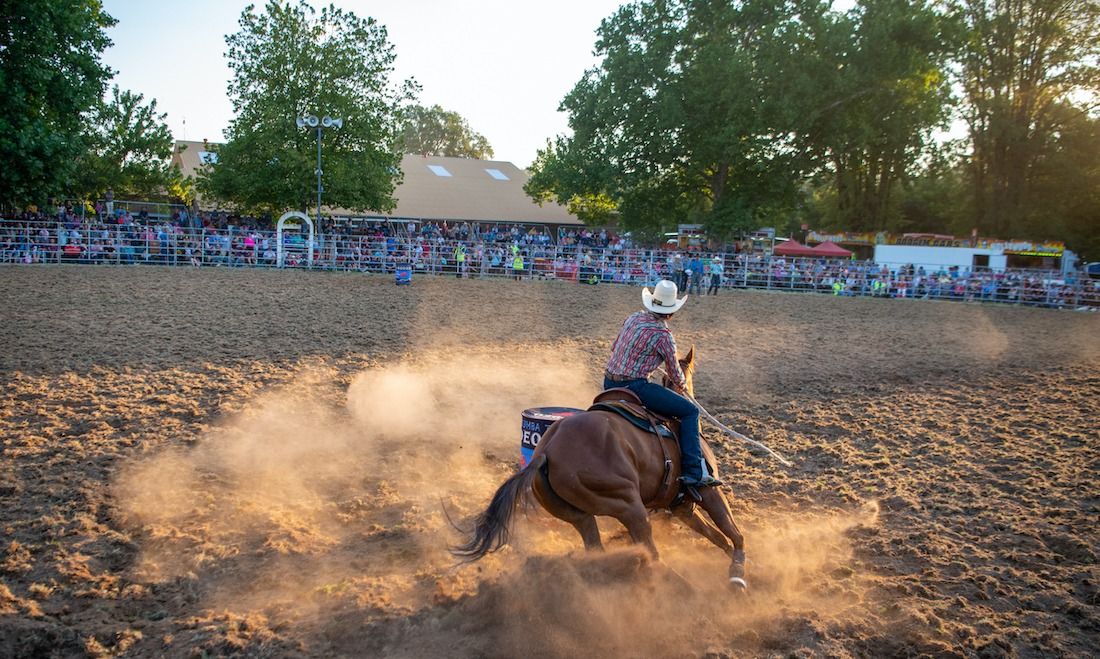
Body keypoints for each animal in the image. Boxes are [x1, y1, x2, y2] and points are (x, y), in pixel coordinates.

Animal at [448, 347, 748, 589]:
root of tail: (546, 452)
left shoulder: (682, 507)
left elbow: (717, 537)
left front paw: (733, 569)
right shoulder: (710, 492)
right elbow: (734, 532)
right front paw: (738, 573)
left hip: (577, 515)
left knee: (596, 547)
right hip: (629, 506)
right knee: (651, 553)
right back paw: (682, 586)